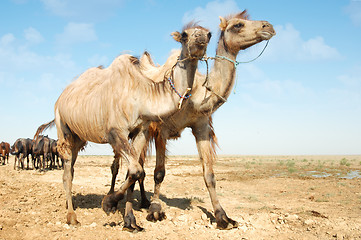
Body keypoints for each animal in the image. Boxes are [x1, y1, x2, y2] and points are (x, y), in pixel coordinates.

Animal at [33, 23, 211, 232]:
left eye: (210, 34)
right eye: (184, 35)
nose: (201, 37)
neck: (142, 96)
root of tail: (62, 96)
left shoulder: (140, 131)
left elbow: (134, 172)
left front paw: (130, 221)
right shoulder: (115, 132)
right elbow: (135, 170)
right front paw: (108, 204)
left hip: (79, 137)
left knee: (71, 168)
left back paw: (70, 206)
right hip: (63, 126)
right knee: (67, 171)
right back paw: (72, 217)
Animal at [108, 10, 274, 230]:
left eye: (210, 34)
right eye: (238, 25)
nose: (268, 26)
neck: (195, 93)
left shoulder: (201, 126)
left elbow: (209, 175)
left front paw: (223, 217)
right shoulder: (162, 129)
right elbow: (159, 172)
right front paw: (154, 210)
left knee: (139, 165)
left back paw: (142, 201)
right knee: (119, 166)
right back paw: (116, 200)